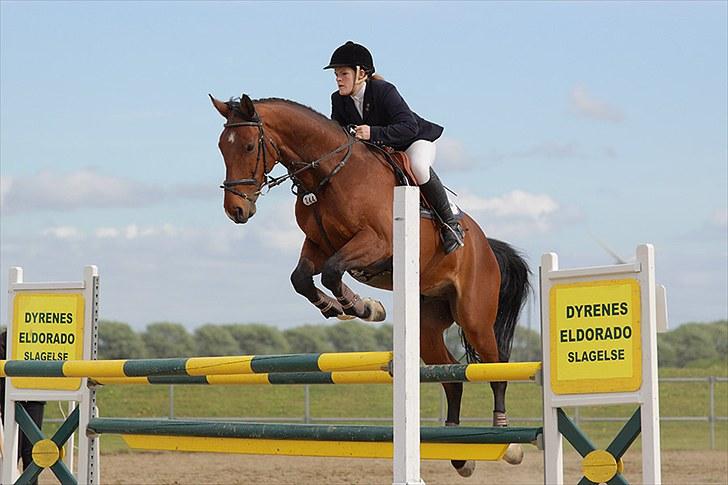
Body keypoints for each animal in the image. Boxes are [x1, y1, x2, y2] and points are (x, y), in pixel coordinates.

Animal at [209, 93, 528, 472]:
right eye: (221, 148)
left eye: (247, 146)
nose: (236, 211)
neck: (329, 175)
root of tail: (486, 246)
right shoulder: (317, 245)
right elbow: (302, 278)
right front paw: (339, 307)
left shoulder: (375, 244)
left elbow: (333, 271)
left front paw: (363, 307)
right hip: (426, 324)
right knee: (451, 377)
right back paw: (457, 452)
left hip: (474, 317)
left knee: (496, 367)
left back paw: (506, 439)